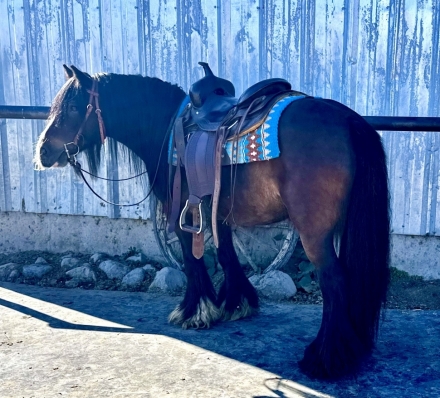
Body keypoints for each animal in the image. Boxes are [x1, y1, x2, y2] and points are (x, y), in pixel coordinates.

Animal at [35, 63, 392, 378]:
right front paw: (236, 304)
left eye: (72, 108)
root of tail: (345, 119)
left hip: (314, 234)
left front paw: (194, 311)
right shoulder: (219, 211)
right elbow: (226, 253)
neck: (166, 126)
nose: (42, 152)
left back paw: (325, 358)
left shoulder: (182, 211)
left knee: (334, 282)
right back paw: (353, 346)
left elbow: (193, 260)